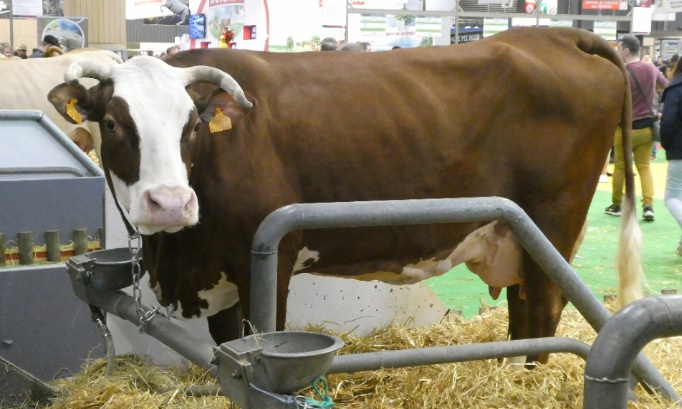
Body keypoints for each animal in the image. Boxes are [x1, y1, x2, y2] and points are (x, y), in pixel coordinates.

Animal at [48, 27, 642, 365]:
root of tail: (555, 33)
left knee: (541, 312)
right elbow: (224, 348)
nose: (171, 202)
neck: (176, 254)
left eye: (192, 124)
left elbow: (259, 339)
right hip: (517, 235)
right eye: (111, 122)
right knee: (522, 319)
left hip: (552, 226)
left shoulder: (265, 260)